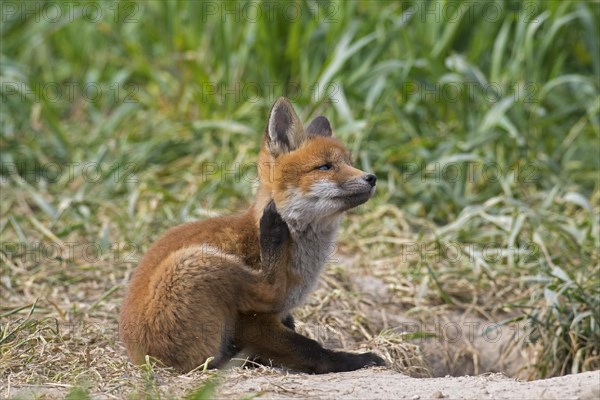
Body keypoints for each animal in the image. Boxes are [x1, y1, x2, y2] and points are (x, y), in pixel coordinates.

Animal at [120, 98, 384, 374]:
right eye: (325, 167)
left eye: (349, 162)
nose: (371, 178)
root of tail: (143, 361)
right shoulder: (253, 324)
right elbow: (310, 349)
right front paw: (356, 360)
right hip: (197, 263)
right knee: (270, 290)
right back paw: (272, 231)